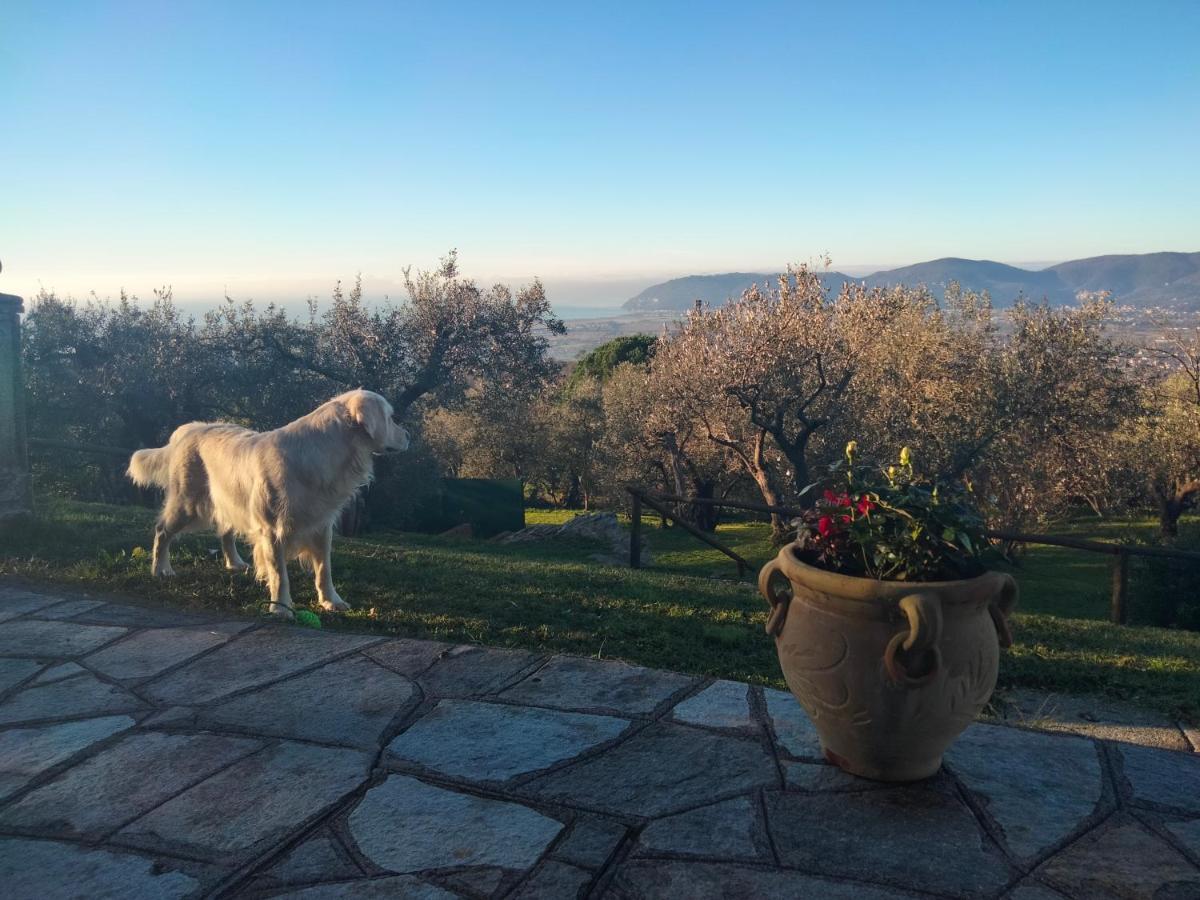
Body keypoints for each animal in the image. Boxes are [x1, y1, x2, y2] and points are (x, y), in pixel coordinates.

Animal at [126, 393, 408, 619]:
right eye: (391, 417)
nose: (408, 435)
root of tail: (190, 429)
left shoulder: (321, 526)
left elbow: (324, 569)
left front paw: (331, 601)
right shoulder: (273, 530)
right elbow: (279, 574)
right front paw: (281, 608)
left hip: (227, 500)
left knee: (225, 532)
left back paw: (235, 563)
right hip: (189, 504)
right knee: (162, 531)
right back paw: (161, 569)